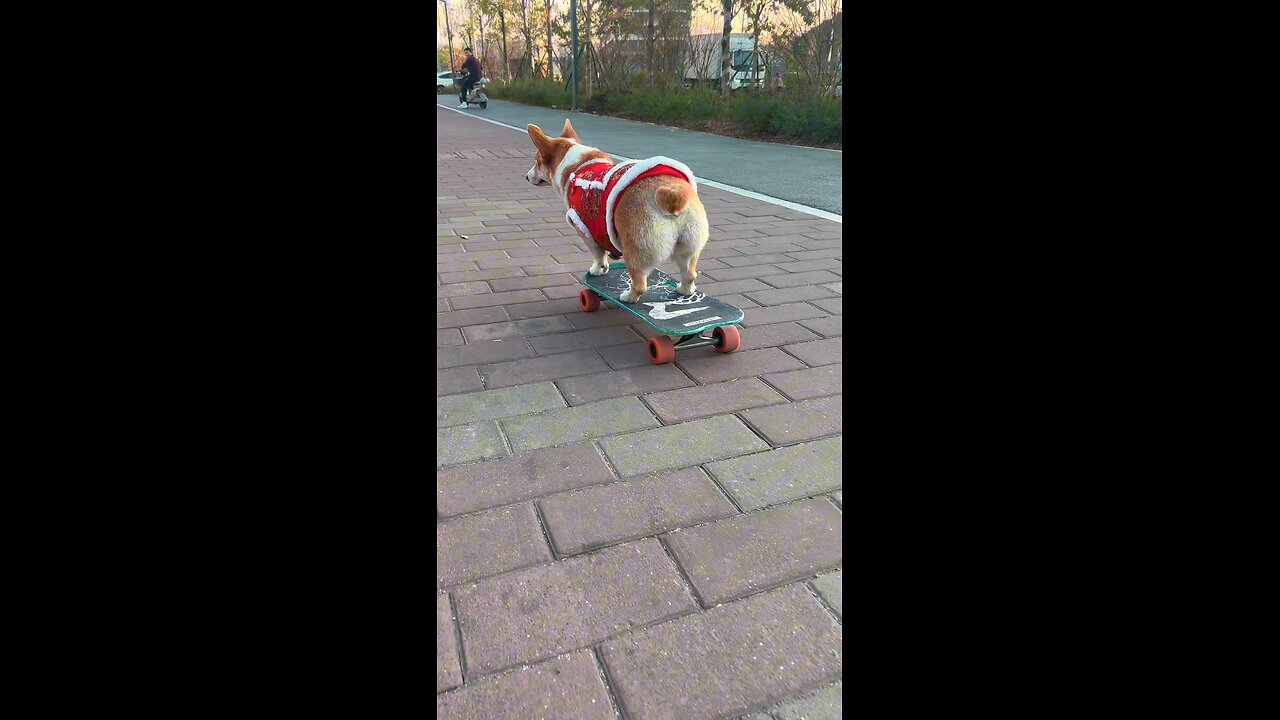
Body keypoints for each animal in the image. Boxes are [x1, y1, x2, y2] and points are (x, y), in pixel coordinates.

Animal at [522, 119, 711, 301]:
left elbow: (598, 254)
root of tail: (672, 196)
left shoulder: (584, 229)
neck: (576, 167)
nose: (526, 177)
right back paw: (684, 290)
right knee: (690, 274)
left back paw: (628, 297)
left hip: (634, 250)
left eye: (536, 161)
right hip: (688, 249)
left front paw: (598, 269)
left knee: (640, 283)